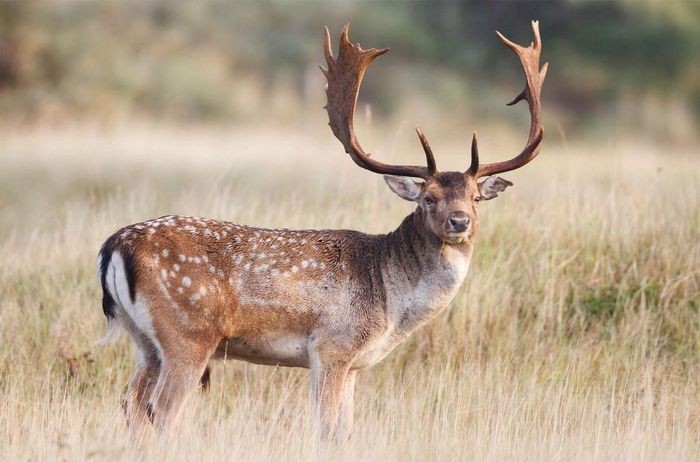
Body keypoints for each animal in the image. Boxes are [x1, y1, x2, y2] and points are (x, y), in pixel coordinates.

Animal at [97, 20, 548, 440]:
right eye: (428, 198)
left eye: (475, 197)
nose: (459, 222)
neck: (390, 301)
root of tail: (115, 245)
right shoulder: (332, 346)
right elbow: (327, 429)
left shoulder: (355, 365)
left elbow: (345, 430)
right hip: (188, 333)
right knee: (161, 411)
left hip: (145, 341)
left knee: (130, 405)